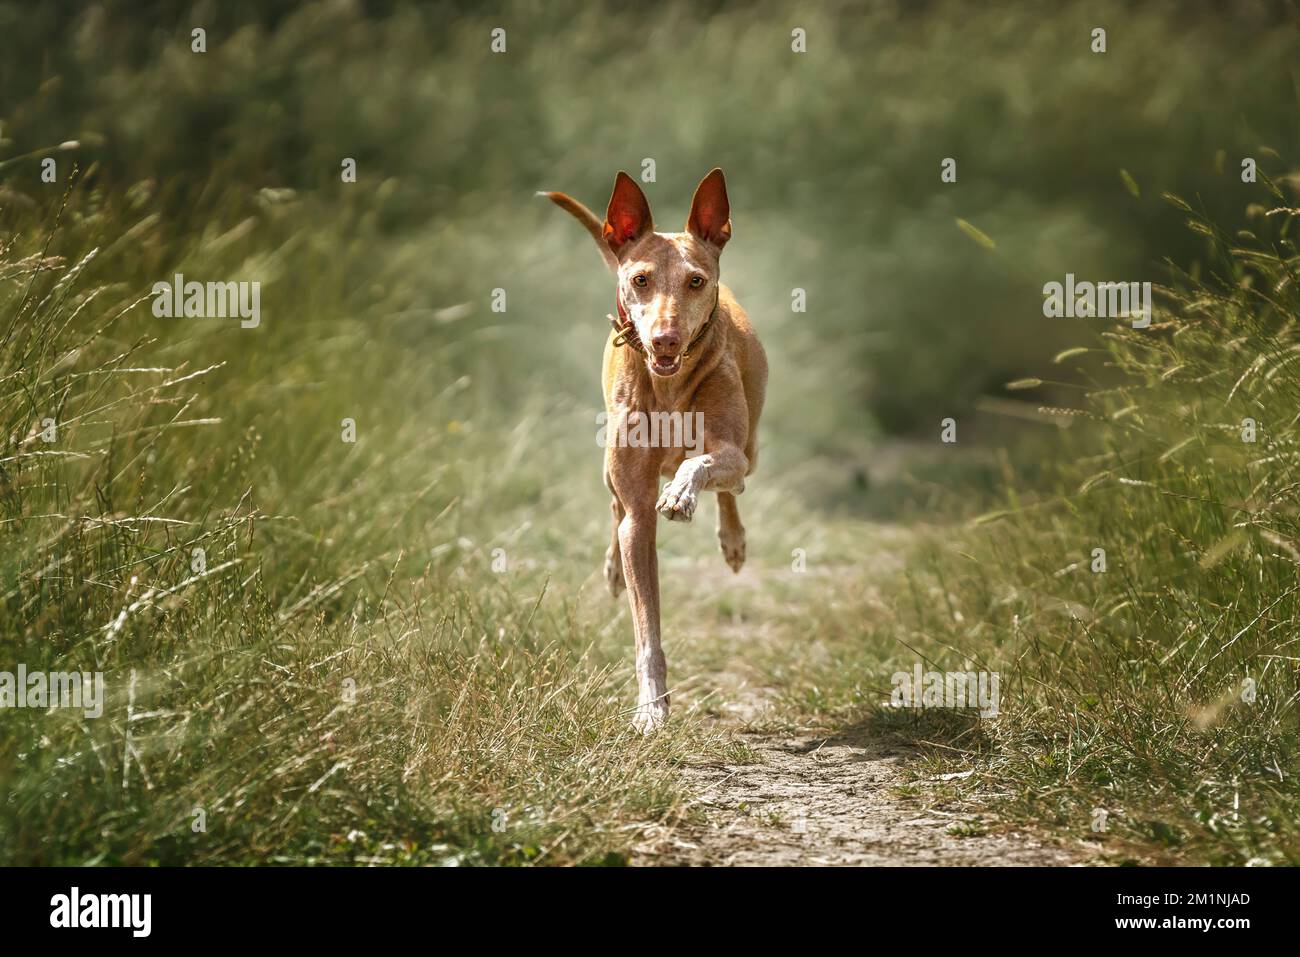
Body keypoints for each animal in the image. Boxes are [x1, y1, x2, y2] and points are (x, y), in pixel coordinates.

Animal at [540, 170, 764, 733]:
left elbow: (702, 462)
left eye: (695, 281)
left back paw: (731, 538)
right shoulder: (638, 514)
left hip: (750, 450)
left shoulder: (728, 449)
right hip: (609, 469)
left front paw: (683, 493)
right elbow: (646, 629)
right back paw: (614, 566)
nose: (665, 340)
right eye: (641, 279)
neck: (668, 388)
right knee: (614, 508)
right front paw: (651, 707)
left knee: (733, 485)